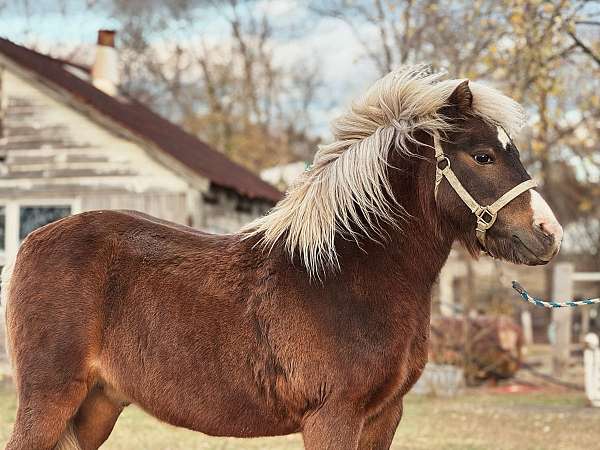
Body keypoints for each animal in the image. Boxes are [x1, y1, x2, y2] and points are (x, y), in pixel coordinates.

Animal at [3, 67, 564, 450]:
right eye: (483, 156)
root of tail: (33, 241)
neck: (349, 275)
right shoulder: (332, 417)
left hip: (97, 404)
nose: (549, 234)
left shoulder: (384, 417)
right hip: (50, 398)